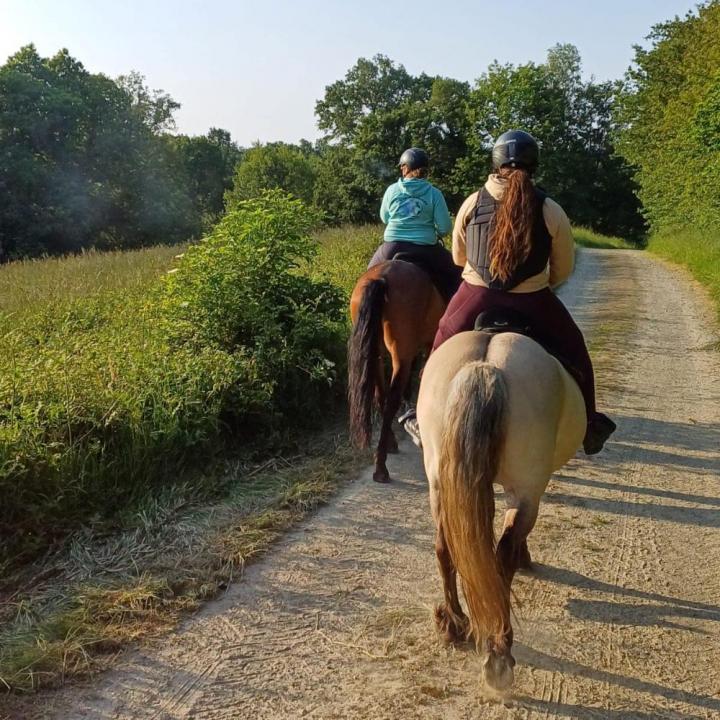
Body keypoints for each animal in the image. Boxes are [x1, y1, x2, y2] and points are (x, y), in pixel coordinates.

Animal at [348, 259, 445, 483]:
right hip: (401, 352)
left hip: (374, 351)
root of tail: (382, 277)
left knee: (380, 395)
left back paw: (389, 445)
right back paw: (381, 467)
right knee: (391, 398)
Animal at [417, 328, 586, 691]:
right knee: (501, 558)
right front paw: (525, 556)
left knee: (445, 547)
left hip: (440, 482)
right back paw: (499, 653)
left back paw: (454, 624)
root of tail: (486, 365)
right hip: (526, 487)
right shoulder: (525, 492)